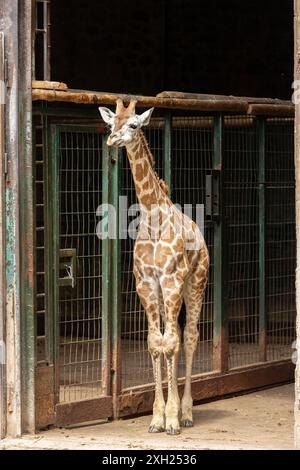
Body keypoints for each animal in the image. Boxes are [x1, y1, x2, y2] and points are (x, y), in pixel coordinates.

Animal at [98, 98, 209, 434]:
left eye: (134, 124)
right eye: (111, 123)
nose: (112, 140)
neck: (154, 218)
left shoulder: (171, 281)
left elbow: (171, 343)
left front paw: (171, 418)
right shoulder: (146, 284)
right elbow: (154, 344)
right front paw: (156, 418)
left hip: (195, 285)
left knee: (189, 338)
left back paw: (186, 413)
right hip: (164, 295)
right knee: (172, 338)